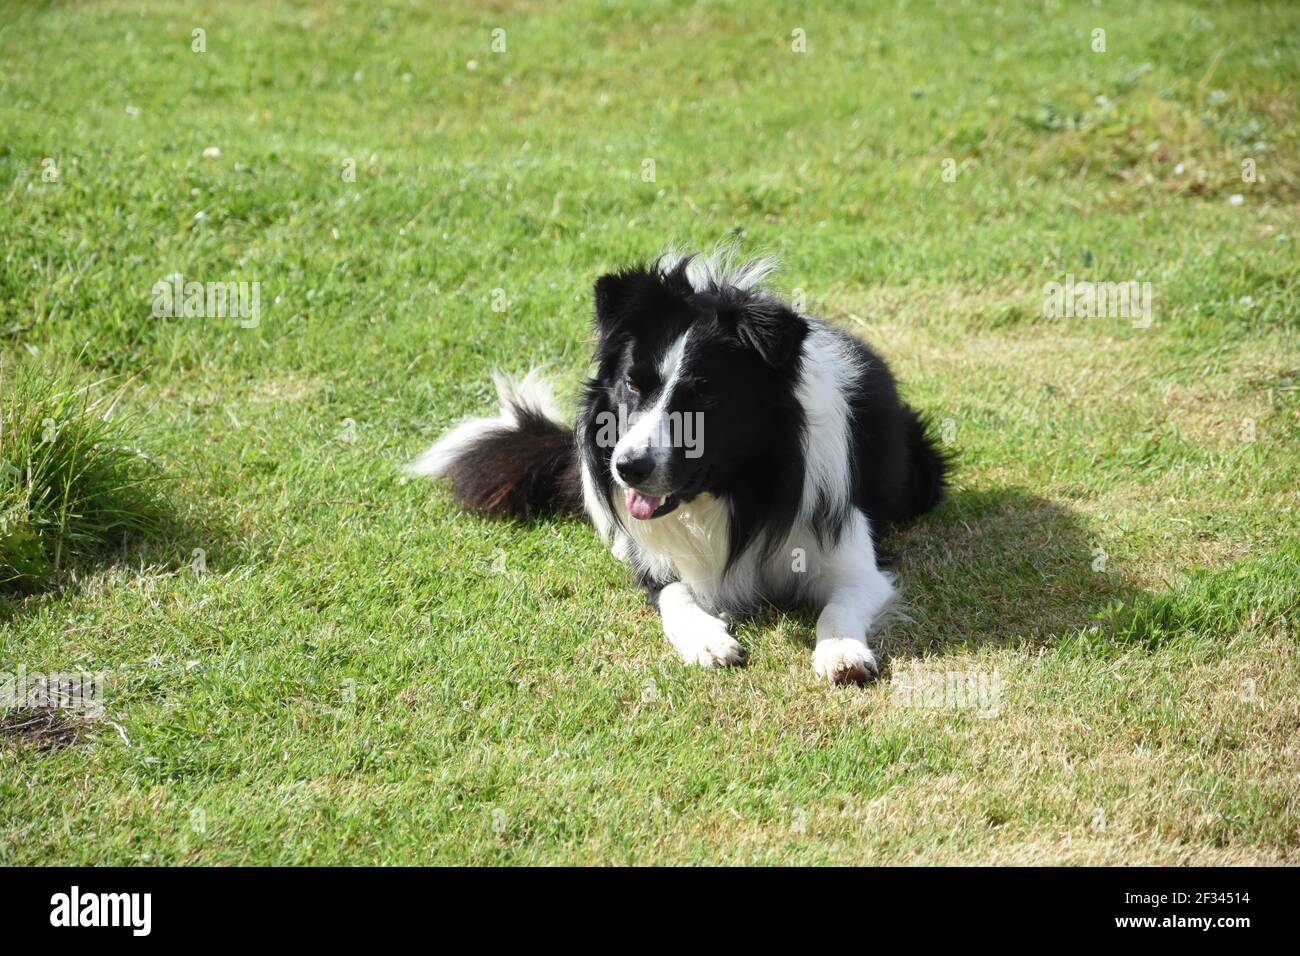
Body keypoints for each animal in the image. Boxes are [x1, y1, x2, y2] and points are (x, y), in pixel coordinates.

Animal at [410, 252, 951, 686]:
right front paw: (707, 639)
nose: (627, 468)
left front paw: (842, 652)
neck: (735, 492)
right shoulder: (654, 560)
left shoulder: (852, 556)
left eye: (704, 396)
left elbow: (841, 601)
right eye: (632, 384)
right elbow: (673, 593)